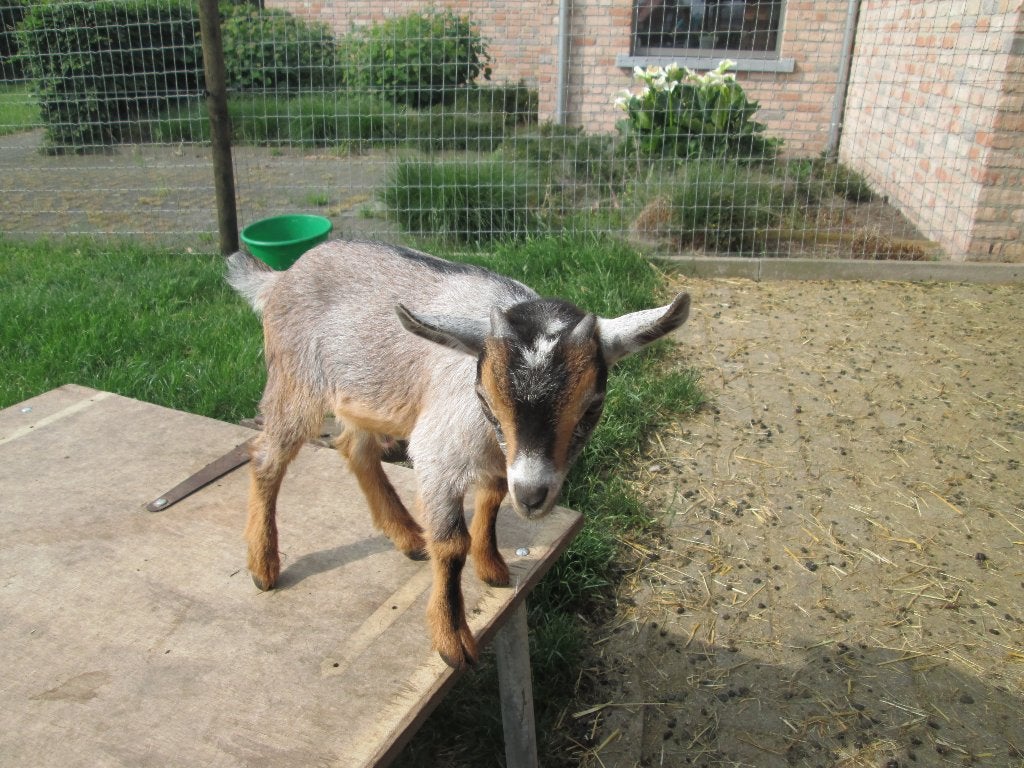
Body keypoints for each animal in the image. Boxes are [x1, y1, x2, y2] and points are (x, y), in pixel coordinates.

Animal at [227, 241, 690, 669]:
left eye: (592, 406)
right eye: (484, 397)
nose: (533, 497)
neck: (491, 438)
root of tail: (278, 279)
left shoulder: (501, 462)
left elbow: (490, 500)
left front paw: (493, 568)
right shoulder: (437, 454)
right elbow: (451, 544)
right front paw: (452, 641)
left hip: (363, 392)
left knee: (355, 449)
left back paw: (409, 537)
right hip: (295, 376)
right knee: (266, 455)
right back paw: (264, 566)